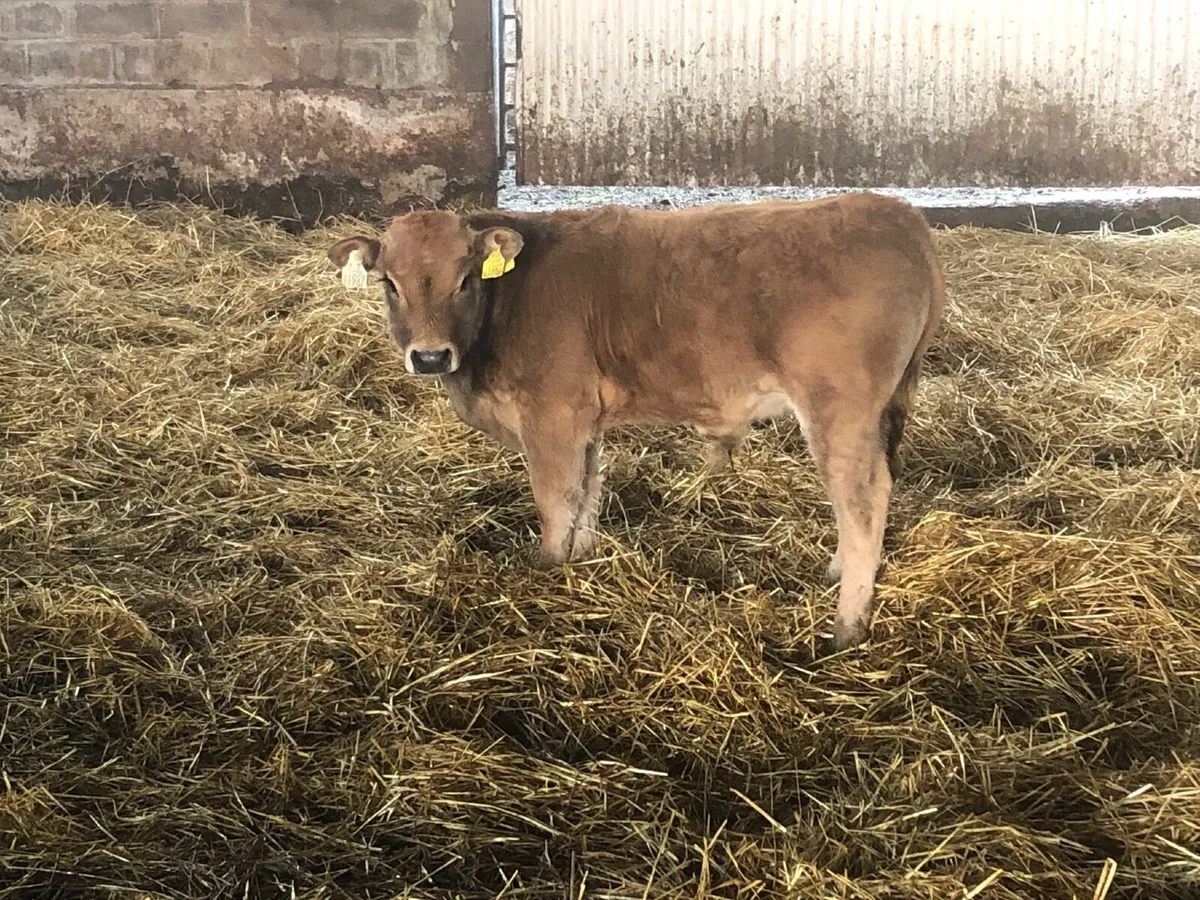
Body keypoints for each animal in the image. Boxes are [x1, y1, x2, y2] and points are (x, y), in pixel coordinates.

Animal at [328, 193, 944, 649]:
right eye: (389, 283)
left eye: (464, 278)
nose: (431, 357)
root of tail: (897, 212)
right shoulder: (583, 421)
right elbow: (586, 495)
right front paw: (580, 563)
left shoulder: (551, 415)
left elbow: (555, 500)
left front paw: (548, 572)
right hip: (881, 411)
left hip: (838, 409)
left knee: (862, 499)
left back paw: (846, 628)